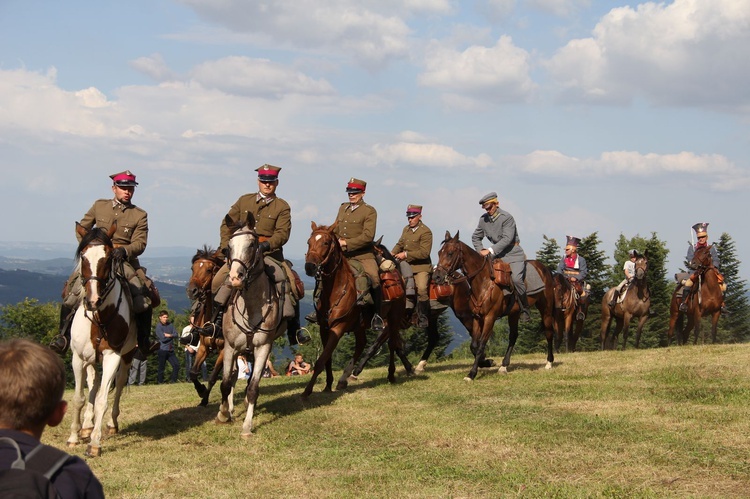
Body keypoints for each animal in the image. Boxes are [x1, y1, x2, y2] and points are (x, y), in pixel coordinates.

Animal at [66, 223, 137, 458]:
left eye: (108, 258)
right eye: (83, 257)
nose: (93, 300)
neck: (99, 317)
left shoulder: (112, 357)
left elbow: (102, 400)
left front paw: (95, 444)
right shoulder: (78, 358)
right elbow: (79, 398)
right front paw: (74, 437)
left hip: (127, 356)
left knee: (119, 385)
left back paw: (111, 424)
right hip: (89, 359)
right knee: (93, 382)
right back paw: (86, 426)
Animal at [184, 246, 226, 406]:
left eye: (209, 270)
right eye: (192, 268)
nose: (192, 291)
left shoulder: (224, 351)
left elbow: (213, 377)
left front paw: (205, 397)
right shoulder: (203, 347)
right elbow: (193, 373)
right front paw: (201, 392)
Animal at [217, 214, 290, 438]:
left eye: (251, 245)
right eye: (229, 247)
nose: (235, 278)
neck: (250, 305)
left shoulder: (263, 348)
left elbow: (253, 387)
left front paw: (247, 427)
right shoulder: (230, 348)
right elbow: (225, 383)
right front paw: (223, 414)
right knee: (231, 377)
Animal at [434, 232, 560, 380]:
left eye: (450, 253)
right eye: (439, 252)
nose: (436, 277)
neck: (484, 282)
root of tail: (545, 269)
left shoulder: (490, 318)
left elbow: (481, 345)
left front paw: (472, 373)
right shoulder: (477, 317)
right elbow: (474, 345)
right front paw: (487, 362)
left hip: (545, 309)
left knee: (548, 332)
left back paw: (549, 362)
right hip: (514, 314)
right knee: (513, 336)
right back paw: (504, 366)